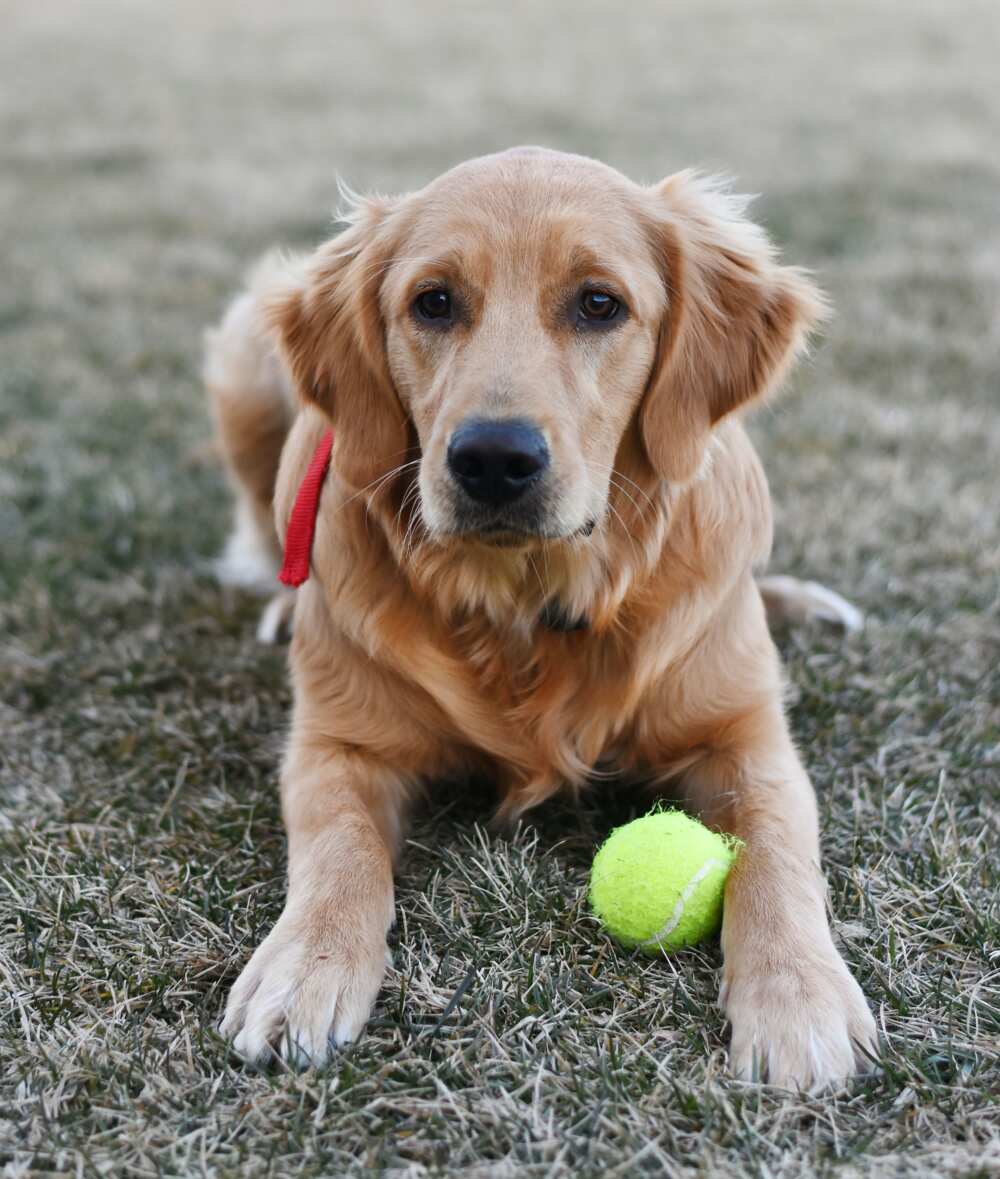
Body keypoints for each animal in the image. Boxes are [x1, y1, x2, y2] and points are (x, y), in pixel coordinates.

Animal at [205, 145, 877, 1084]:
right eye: (433, 301)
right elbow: (340, 848)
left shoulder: (747, 738)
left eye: (599, 303)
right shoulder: (339, 743)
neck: (524, 602)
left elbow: (779, 856)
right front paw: (302, 964)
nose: (493, 458)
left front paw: (800, 996)